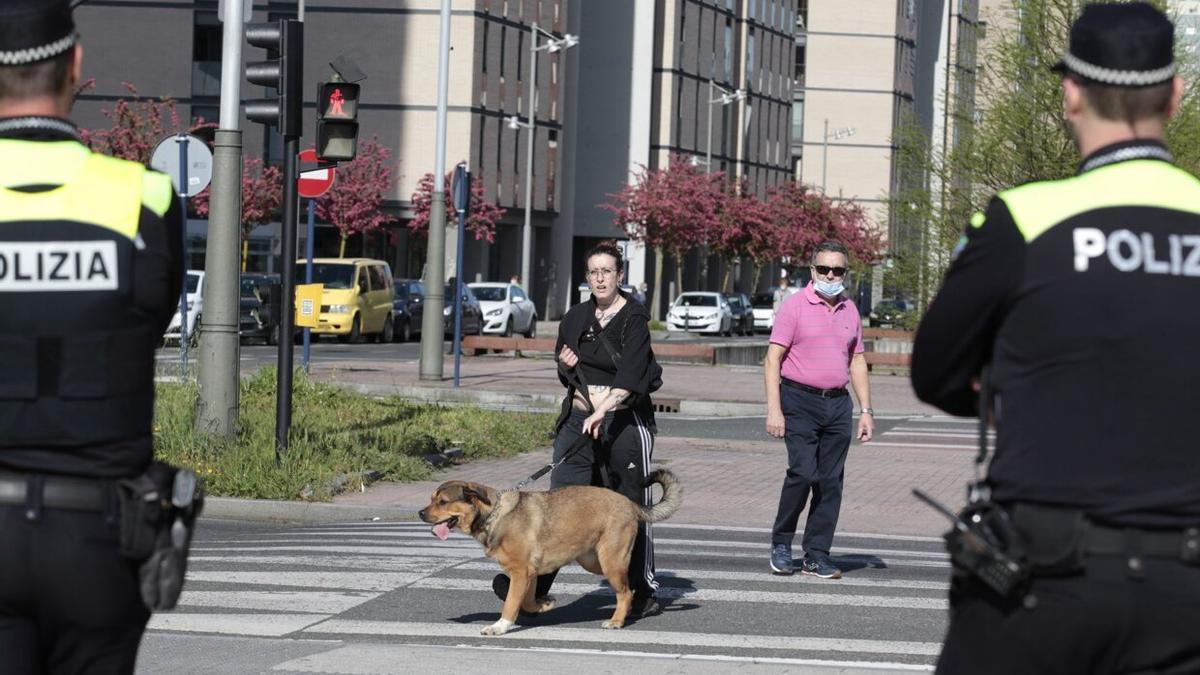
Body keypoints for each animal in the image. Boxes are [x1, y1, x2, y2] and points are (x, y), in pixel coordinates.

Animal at [420, 466, 686, 634]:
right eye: (431, 499)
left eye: (442, 502)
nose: (420, 513)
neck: (494, 514)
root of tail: (631, 504)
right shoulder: (529, 574)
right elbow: (527, 601)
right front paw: (544, 605)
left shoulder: (520, 573)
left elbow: (510, 604)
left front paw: (499, 627)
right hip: (593, 561)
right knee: (626, 588)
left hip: (611, 560)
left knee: (625, 592)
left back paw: (616, 621)